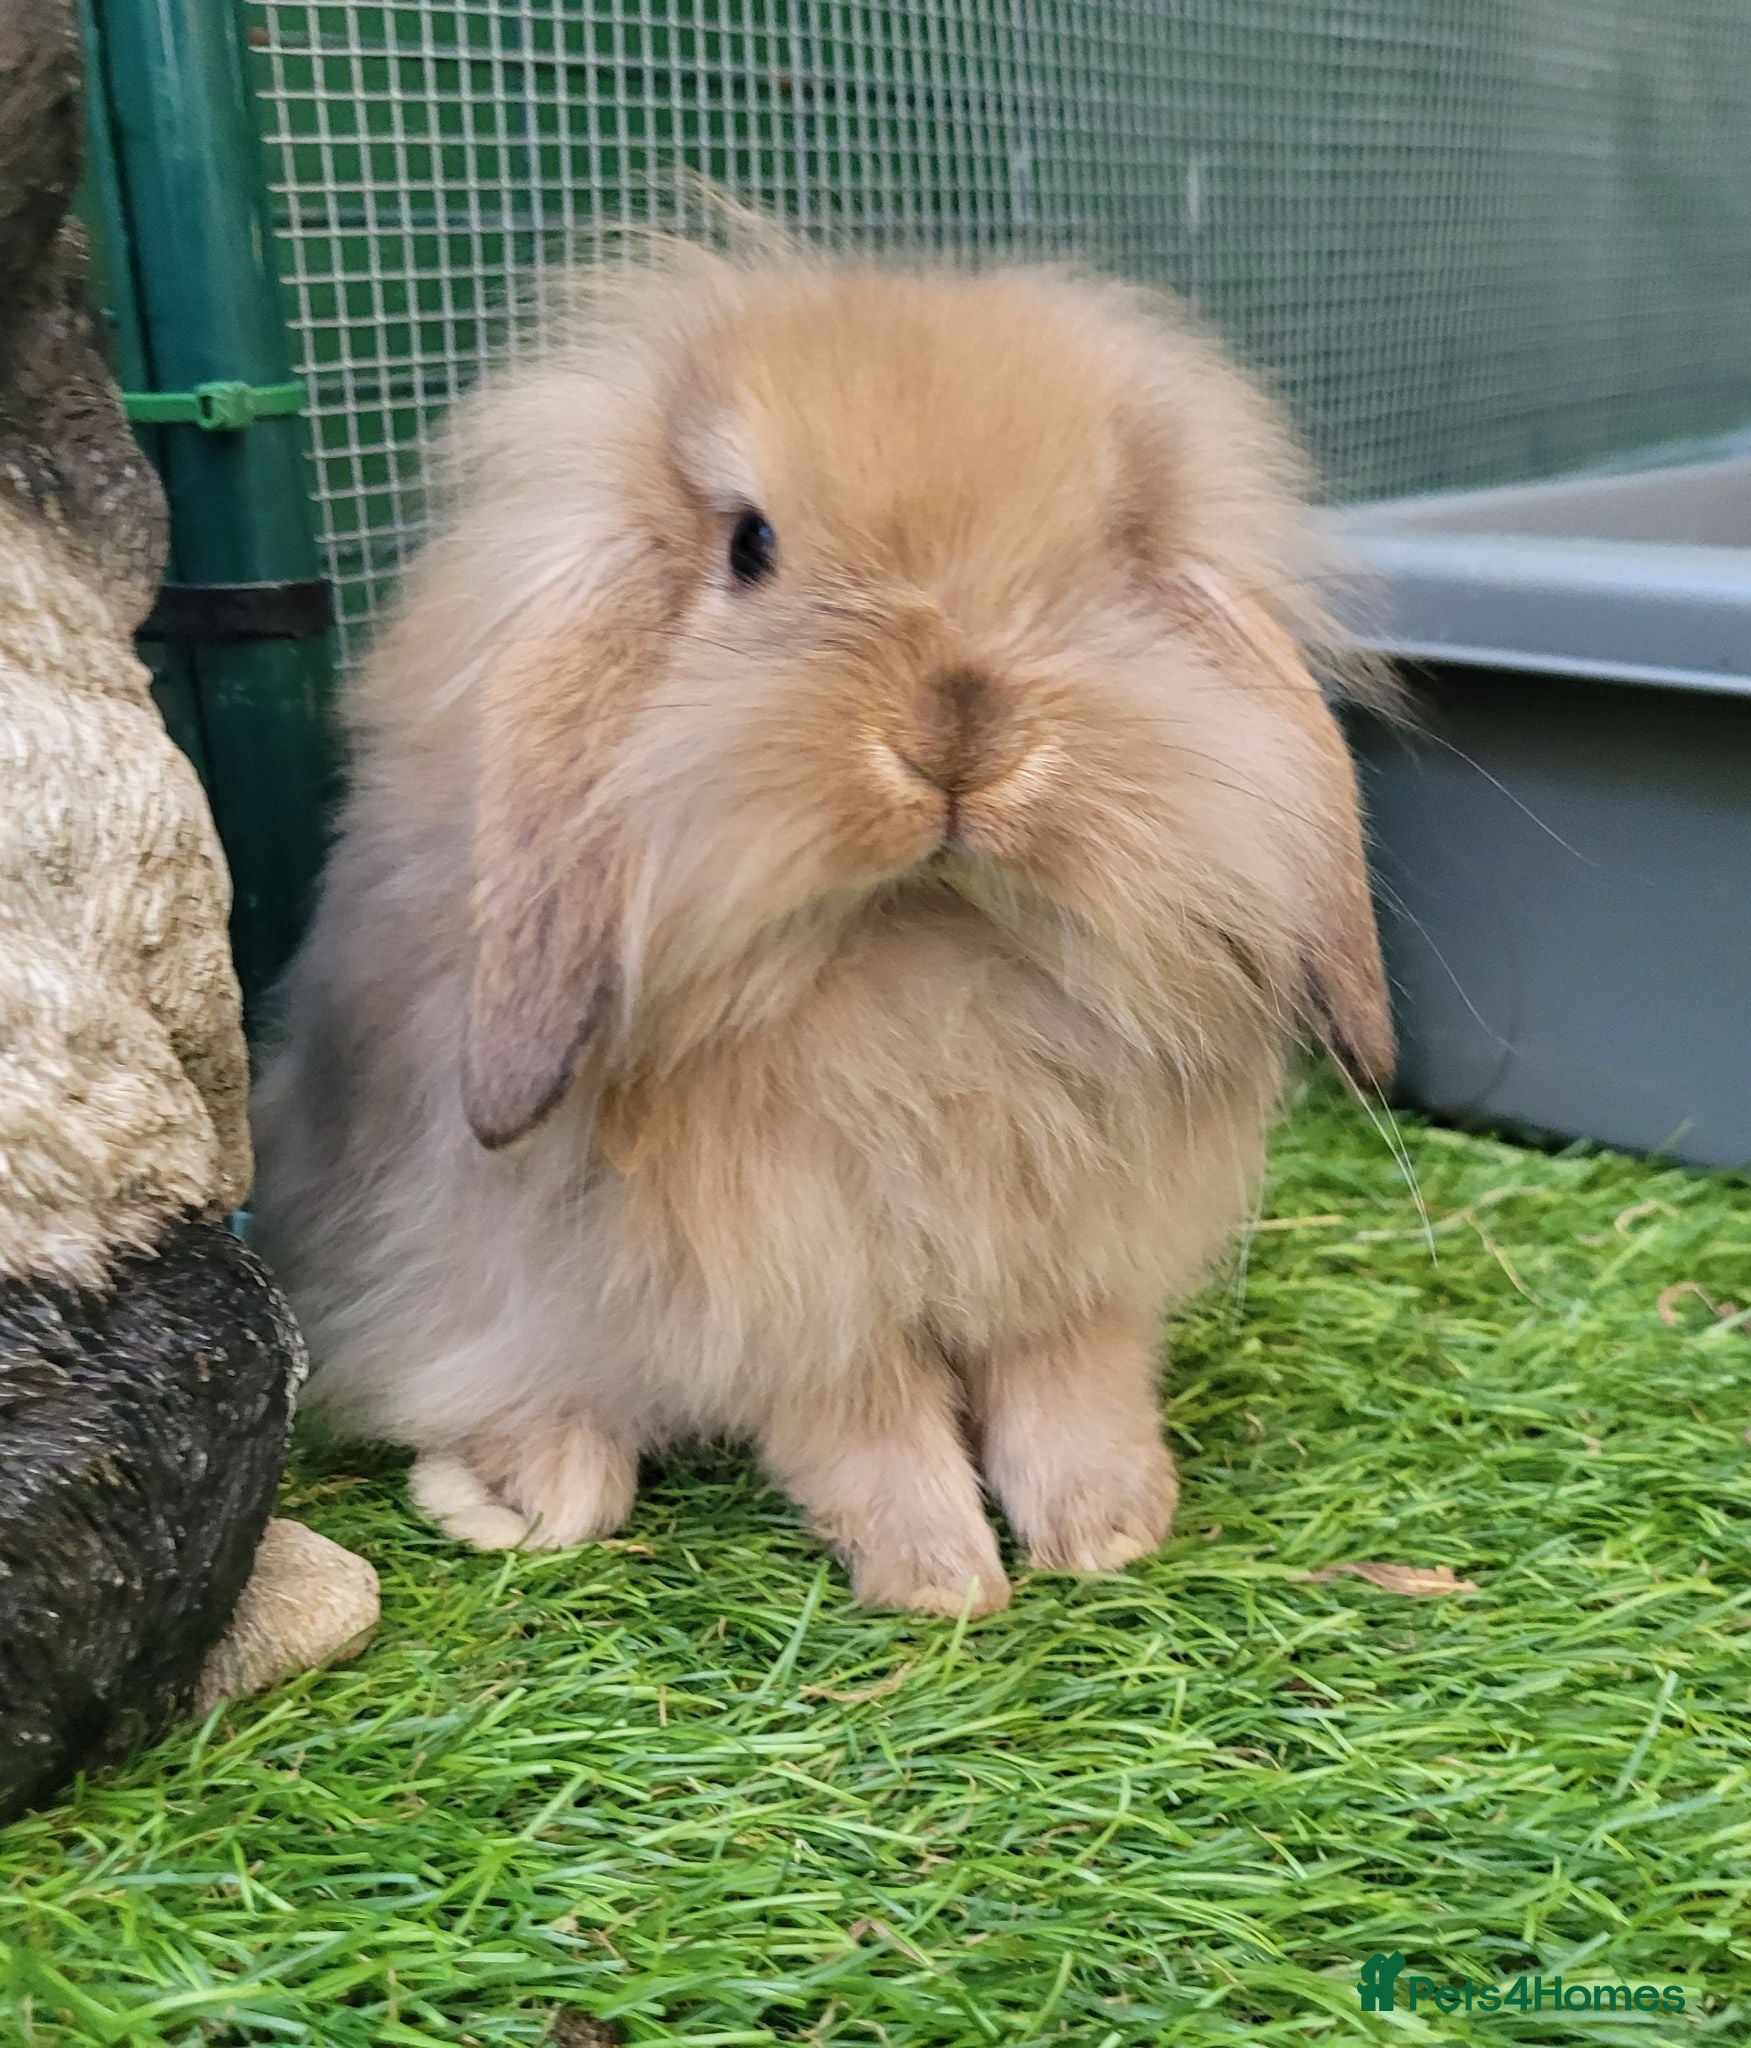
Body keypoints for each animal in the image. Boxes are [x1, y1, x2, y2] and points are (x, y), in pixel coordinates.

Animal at [250, 239, 1392, 1616]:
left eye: (1118, 551)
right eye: (750, 544)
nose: (959, 726)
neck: (928, 935)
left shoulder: (1068, 1258)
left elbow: (1072, 1380)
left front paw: (1106, 1530)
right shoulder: (788, 1281)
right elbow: (861, 1418)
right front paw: (941, 1578)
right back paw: (530, 1484)